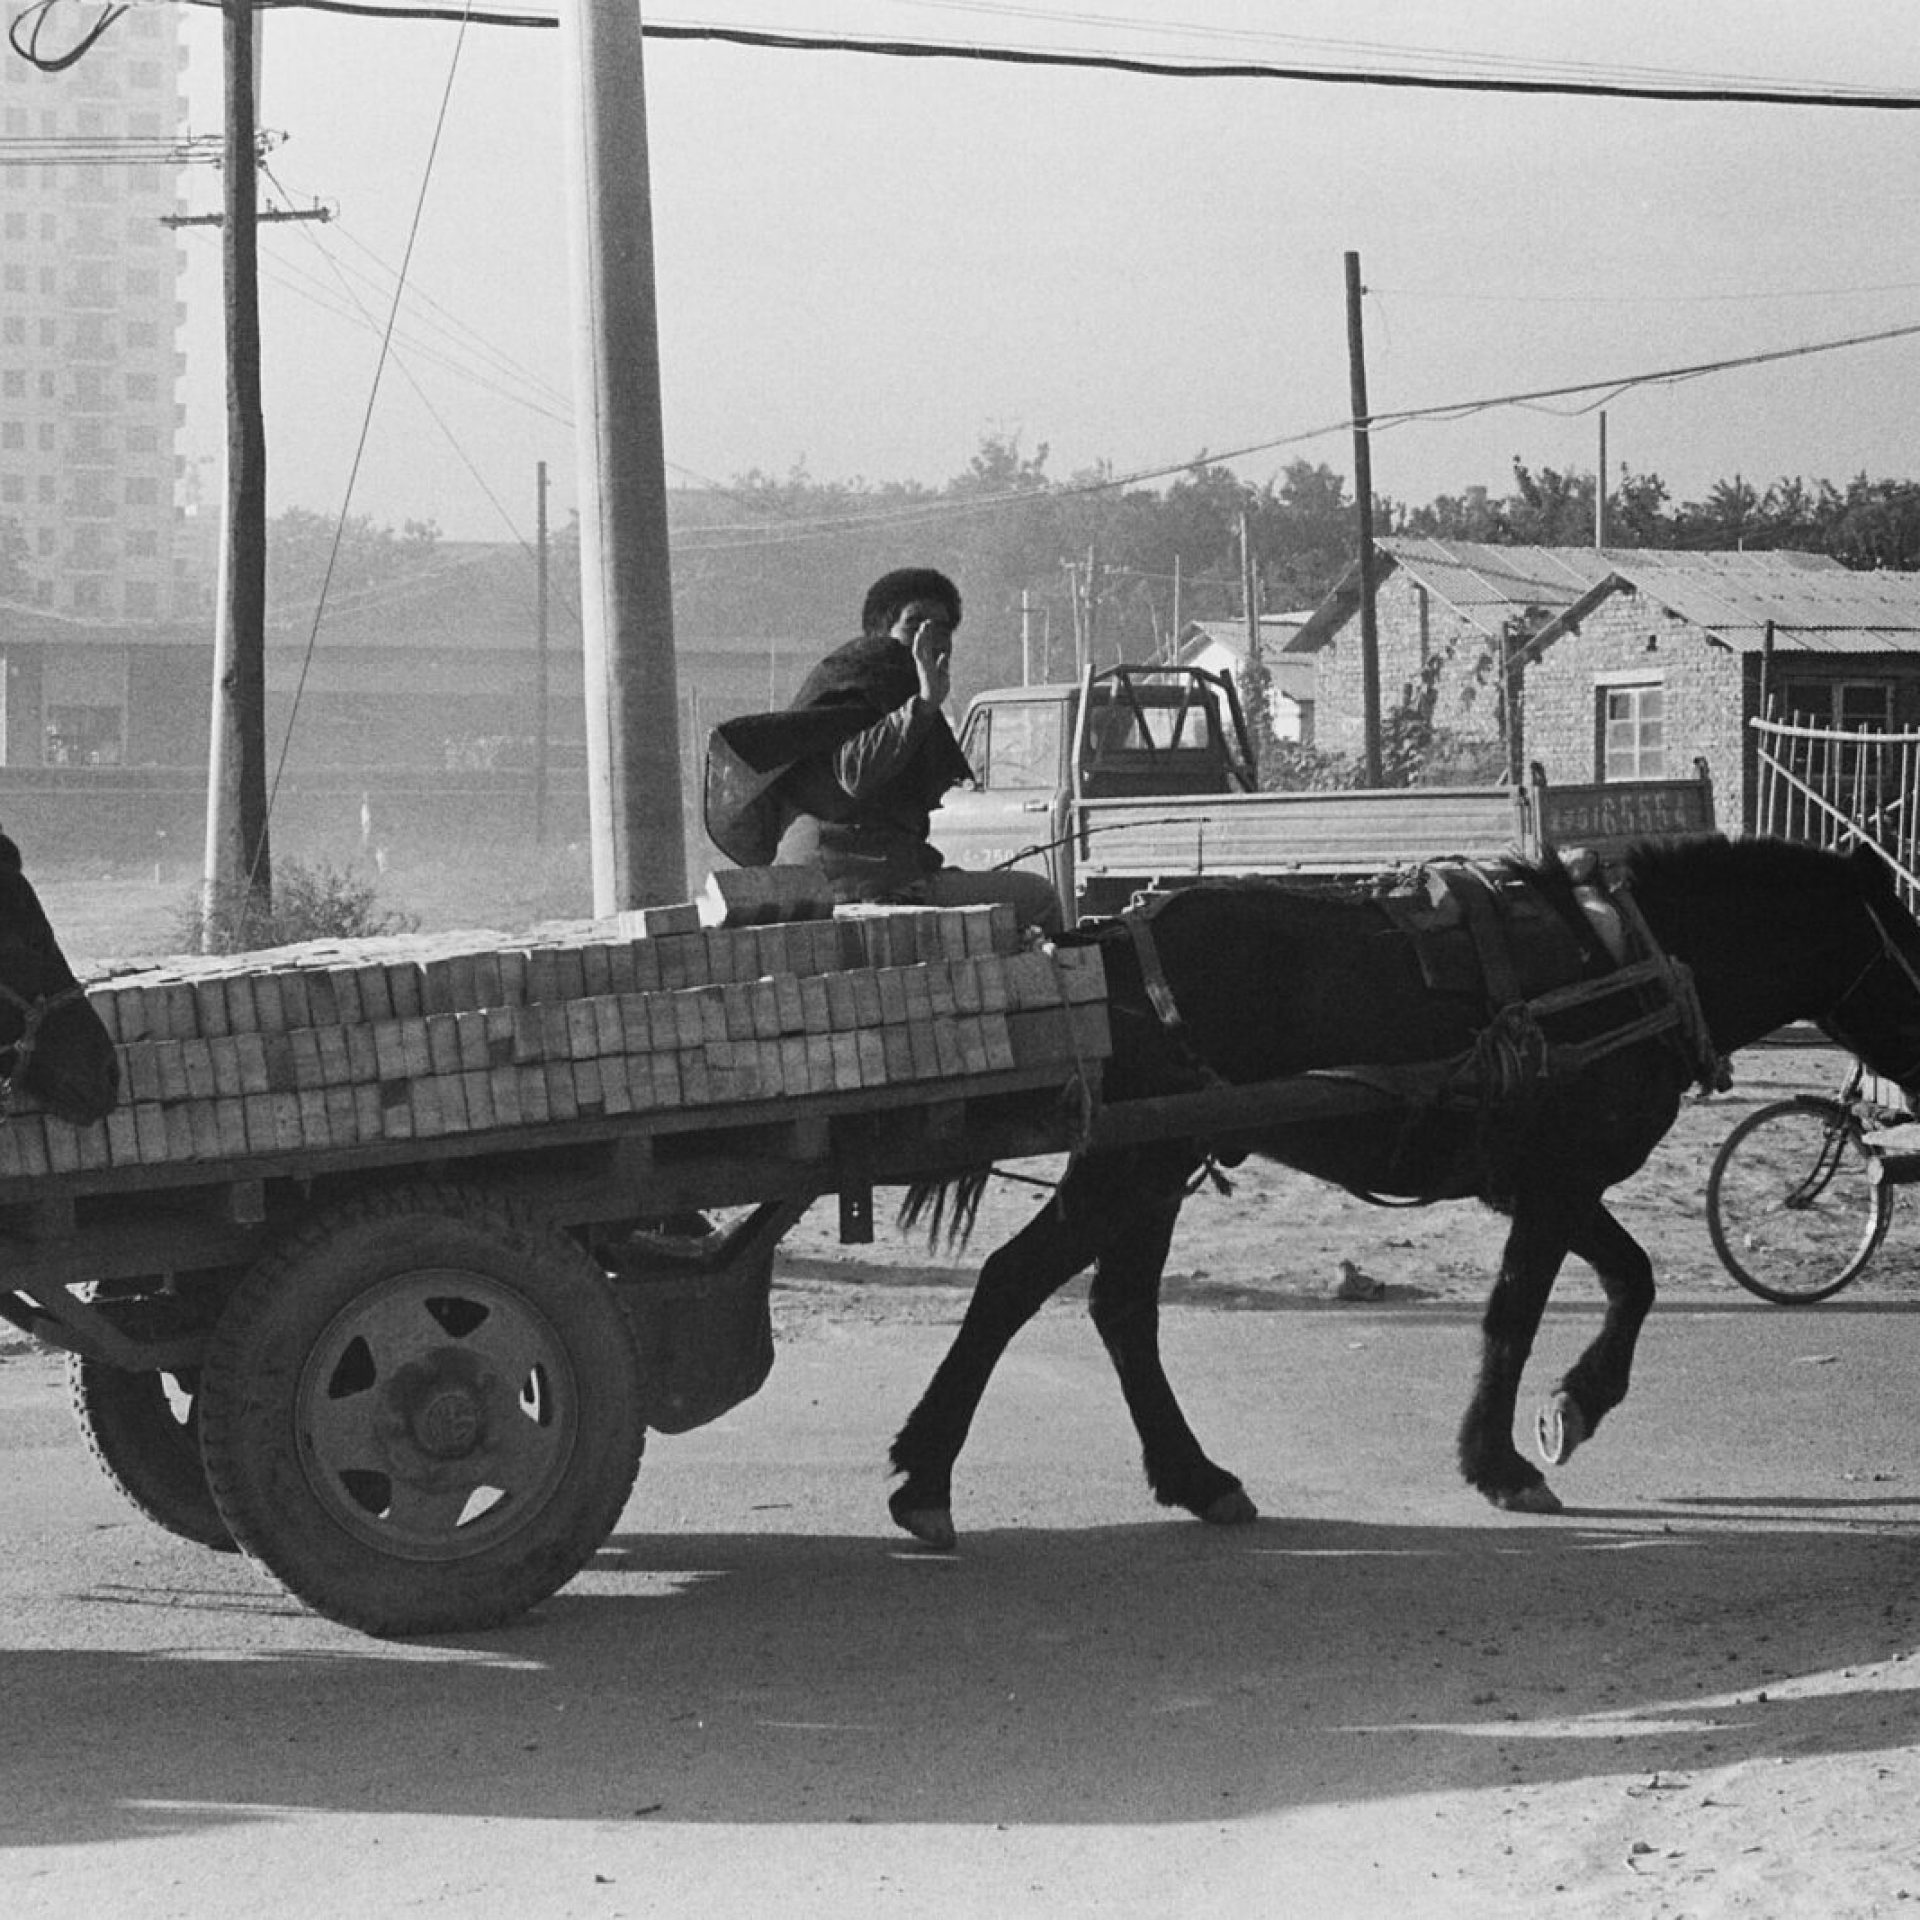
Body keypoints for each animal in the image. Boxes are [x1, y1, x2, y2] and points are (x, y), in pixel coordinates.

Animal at [887, 837, 1920, 1543]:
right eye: (1914, 946)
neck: (1629, 962)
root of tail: (1094, 942)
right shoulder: (1556, 1183)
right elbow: (1520, 1314)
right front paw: (1503, 1459)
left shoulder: (1544, 1183)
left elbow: (1631, 1279)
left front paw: (1573, 1407)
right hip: (1132, 1166)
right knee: (1015, 1283)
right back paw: (925, 1479)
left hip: (1158, 1168)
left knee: (1120, 1310)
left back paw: (1196, 1477)